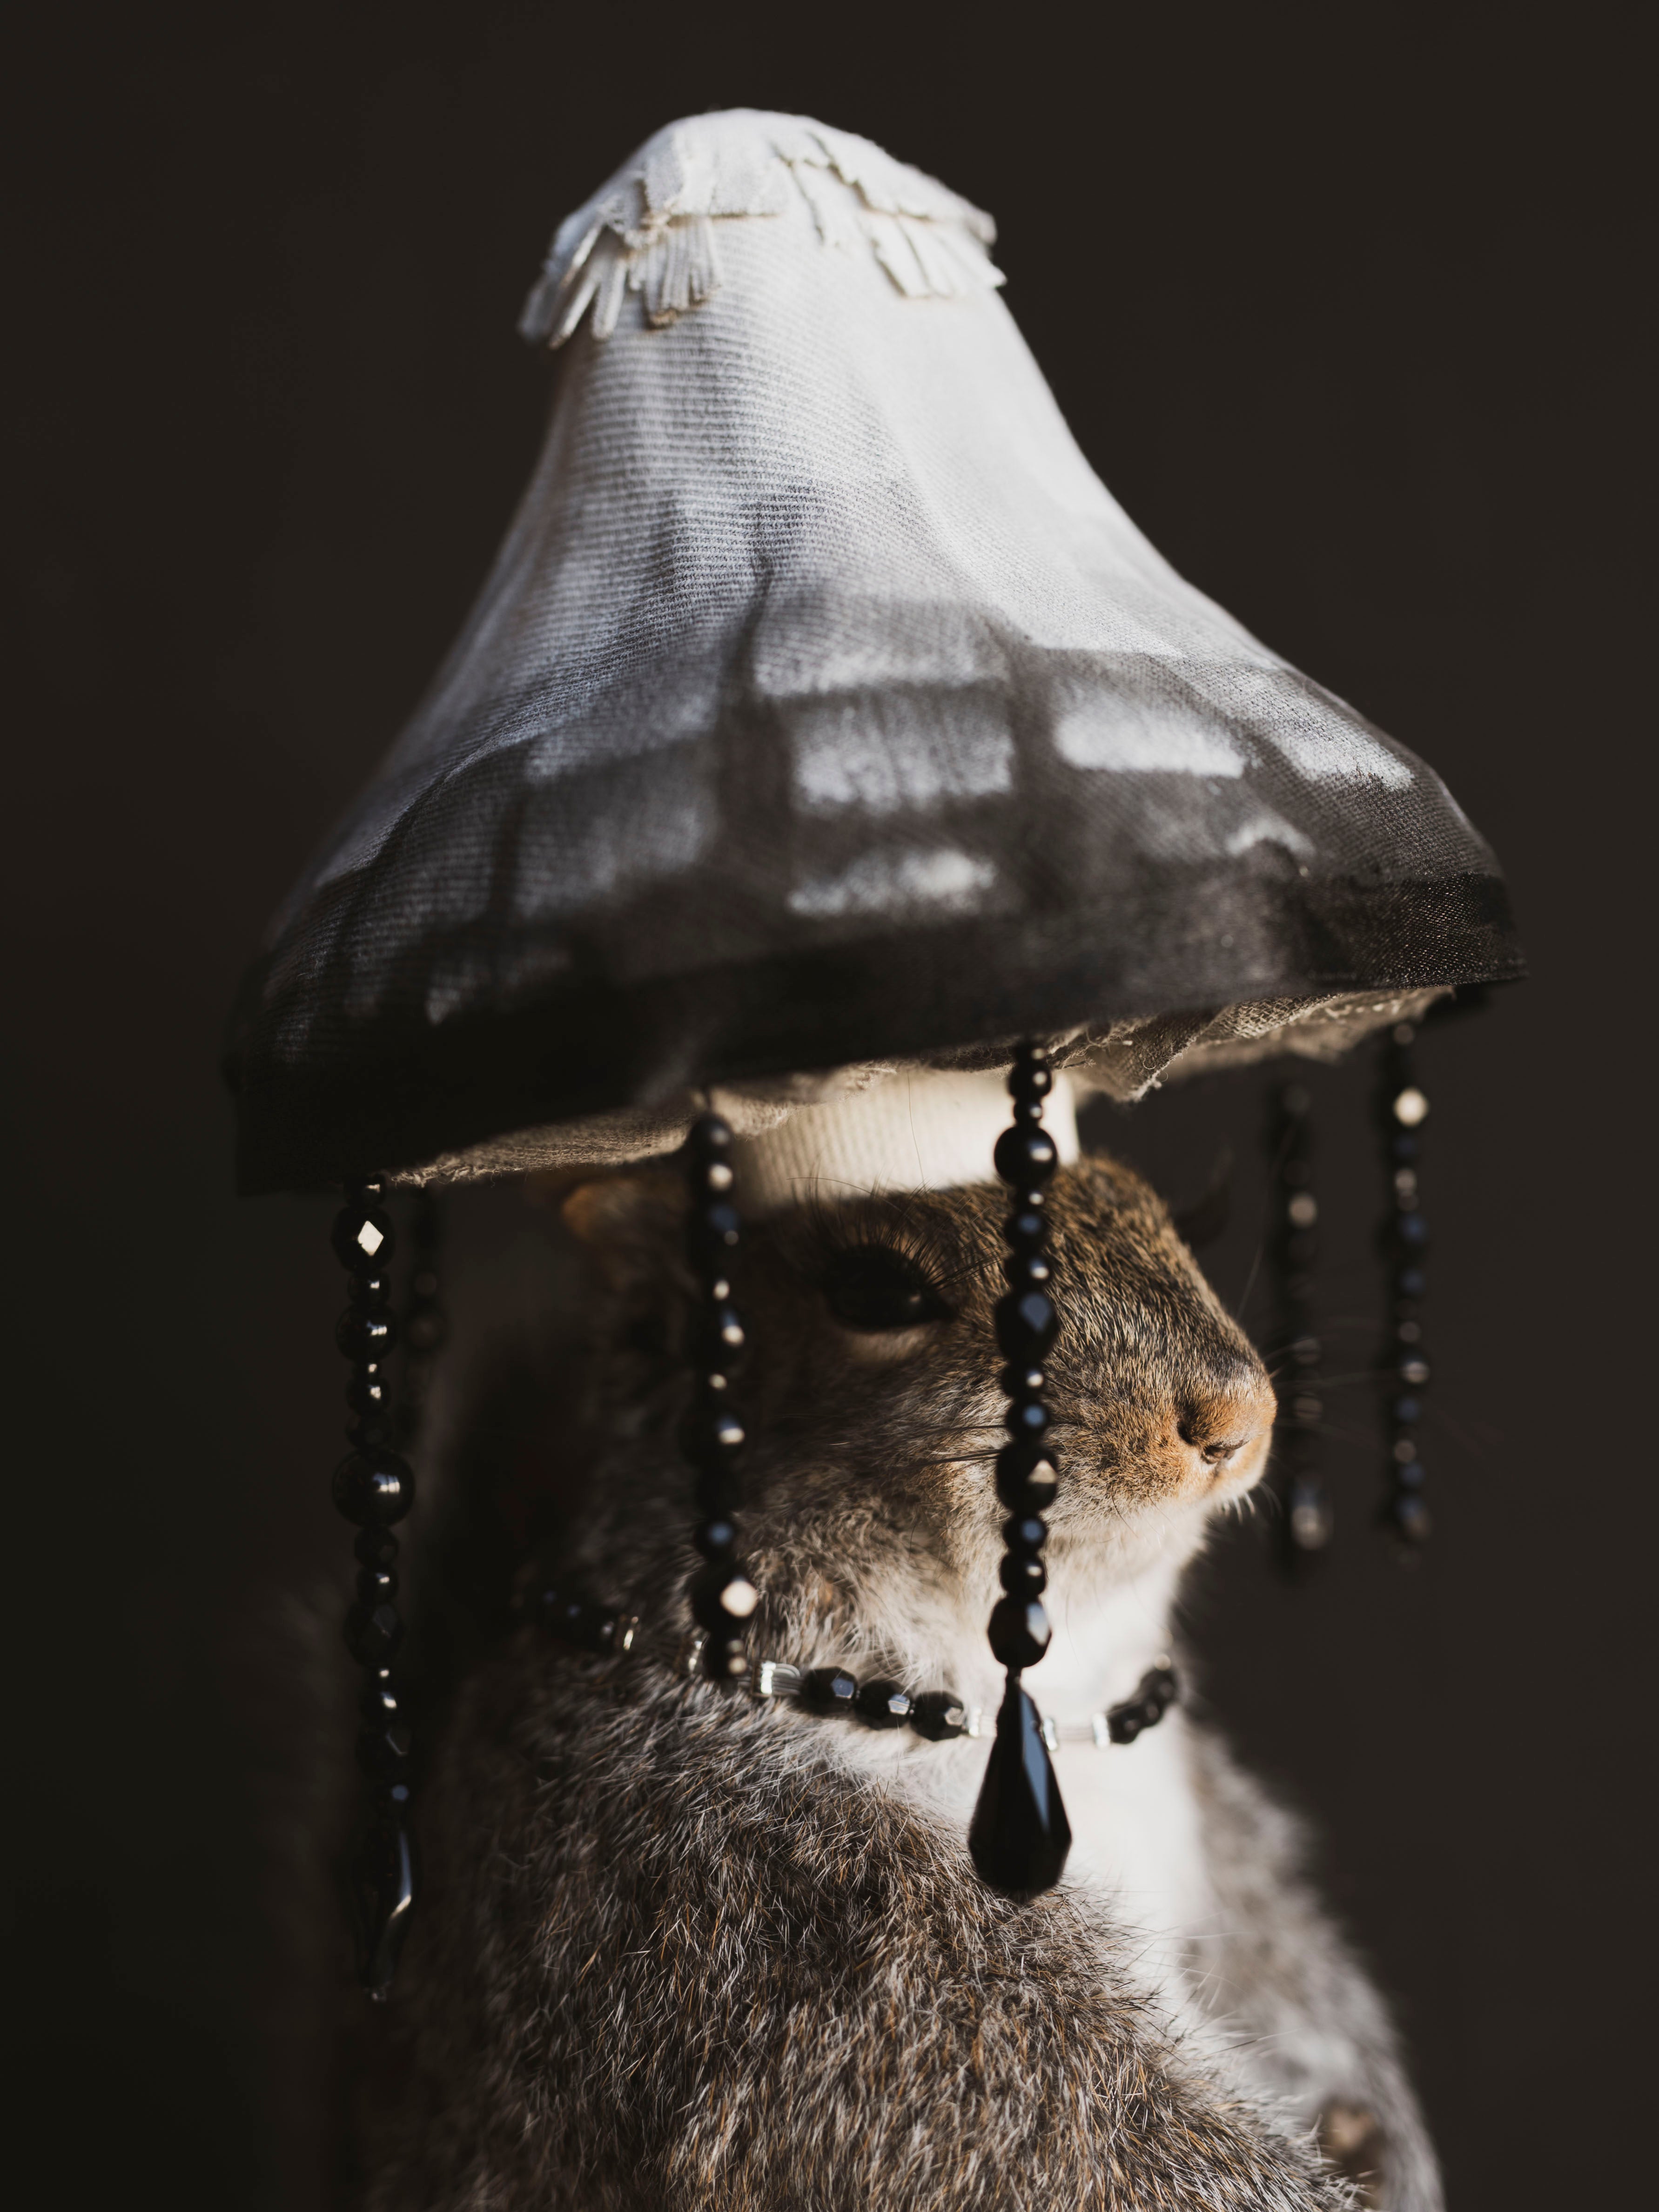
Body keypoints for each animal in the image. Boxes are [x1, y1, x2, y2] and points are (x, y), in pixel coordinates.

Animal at [356, 1151, 1442, 2211]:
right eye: (875, 1291)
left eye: (1164, 1210)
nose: (1236, 1417)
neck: (1038, 1711)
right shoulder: (787, 1929)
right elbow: (1073, 2140)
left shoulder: (1221, 1839)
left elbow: (1287, 1960)